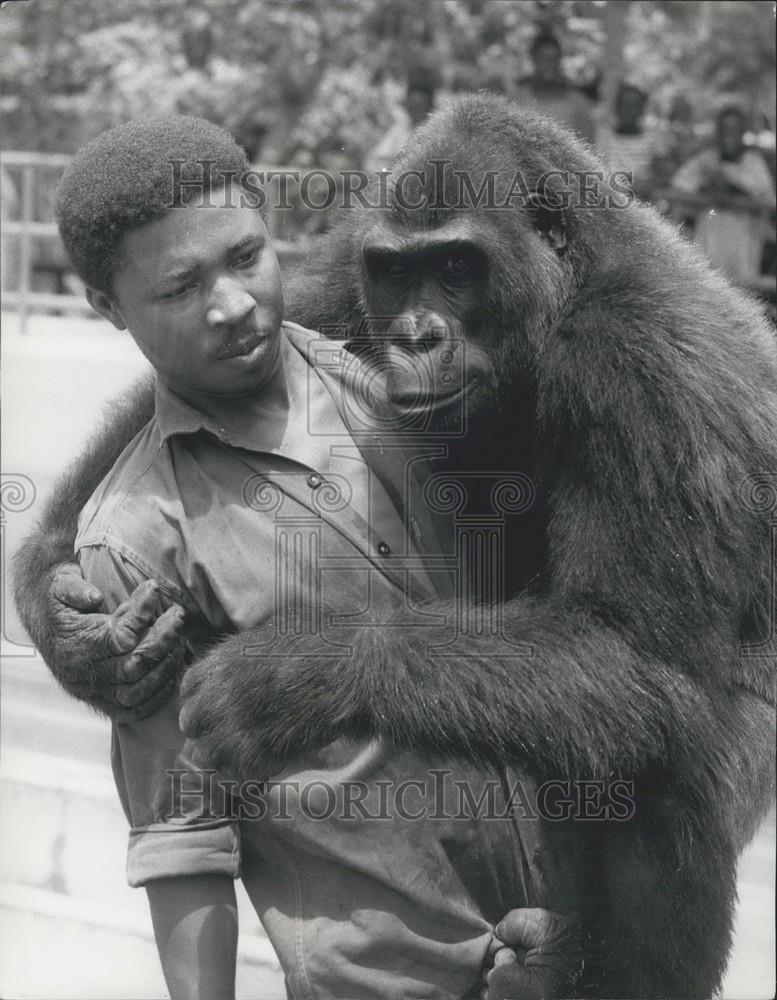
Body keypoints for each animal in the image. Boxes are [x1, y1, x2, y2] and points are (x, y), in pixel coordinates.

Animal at [12, 94, 776, 1000]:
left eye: (458, 267)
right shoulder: (347, 271)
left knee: (674, 756)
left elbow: (635, 652)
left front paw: (294, 674)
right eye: (399, 273)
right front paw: (59, 612)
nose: (413, 336)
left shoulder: (643, 370)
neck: (561, 299)